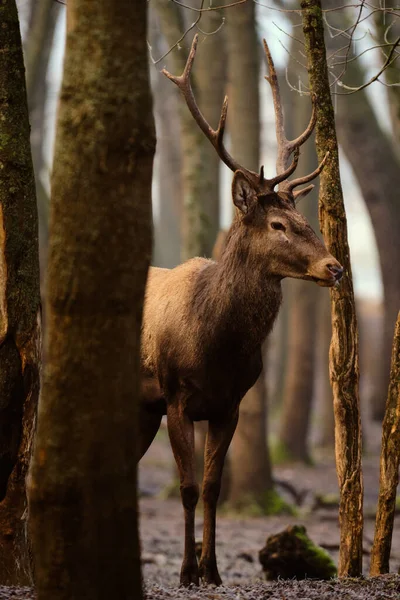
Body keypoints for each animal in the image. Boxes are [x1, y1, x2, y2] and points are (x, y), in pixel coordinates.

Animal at [138, 36, 344, 584]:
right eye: (278, 224)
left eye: (305, 218)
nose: (336, 267)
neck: (216, 346)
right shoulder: (176, 396)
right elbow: (188, 488)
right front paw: (186, 572)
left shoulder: (229, 404)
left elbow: (212, 488)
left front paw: (212, 572)